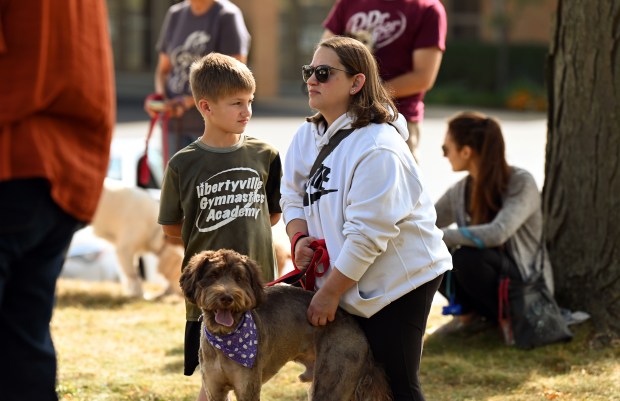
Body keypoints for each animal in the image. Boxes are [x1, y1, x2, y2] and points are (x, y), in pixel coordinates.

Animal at [180, 248, 392, 398]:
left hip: (332, 382)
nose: (227, 297)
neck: (226, 338)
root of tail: (359, 330)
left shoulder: (248, 388)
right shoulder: (214, 389)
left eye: (239, 278)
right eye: (213, 275)